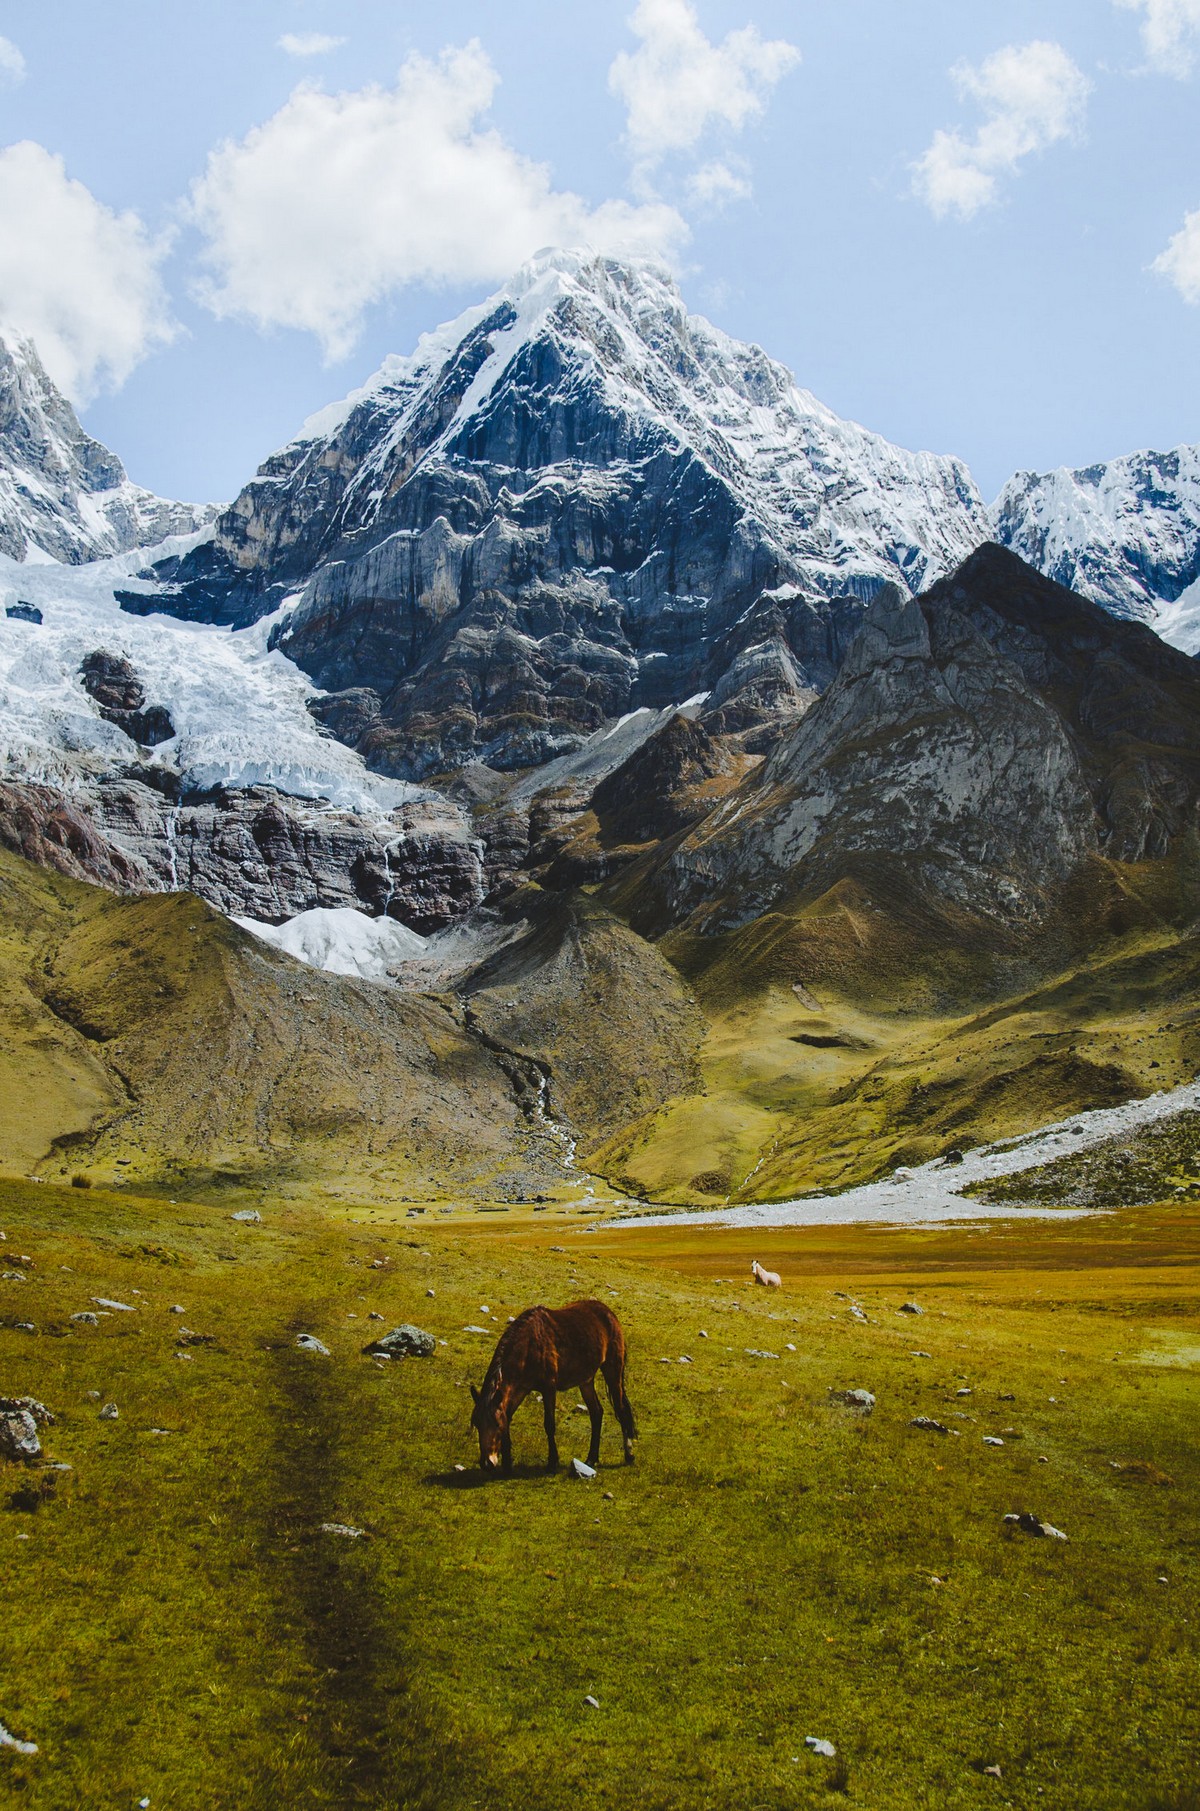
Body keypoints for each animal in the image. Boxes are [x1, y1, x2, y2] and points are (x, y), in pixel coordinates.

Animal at [470, 1296, 637, 1477]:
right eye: (477, 1423)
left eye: (495, 1424)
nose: (487, 1463)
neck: (528, 1347)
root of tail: (609, 1313)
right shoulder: (518, 1390)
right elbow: (507, 1417)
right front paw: (507, 1465)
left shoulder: (549, 1388)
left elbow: (549, 1424)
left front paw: (552, 1463)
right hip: (586, 1380)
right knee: (596, 1412)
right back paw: (591, 1458)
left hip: (612, 1369)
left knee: (621, 1409)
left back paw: (629, 1454)